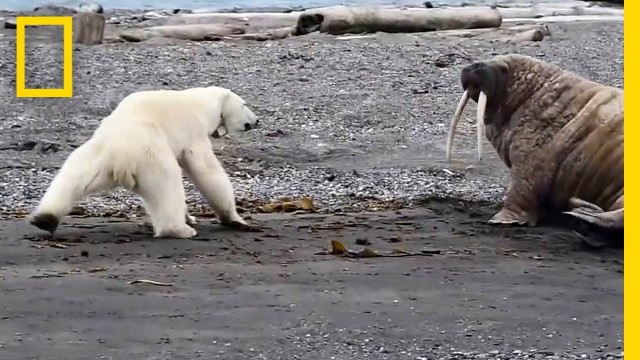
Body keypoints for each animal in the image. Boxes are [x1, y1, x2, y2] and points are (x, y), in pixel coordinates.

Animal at [27, 85, 258, 238]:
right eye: (244, 104)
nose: (257, 120)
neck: (200, 104)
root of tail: (119, 159)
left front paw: (191, 216)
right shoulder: (191, 130)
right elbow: (206, 170)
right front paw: (235, 219)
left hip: (94, 157)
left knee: (71, 179)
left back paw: (44, 219)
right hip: (150, 156)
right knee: (168, 184)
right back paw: (179, 229)